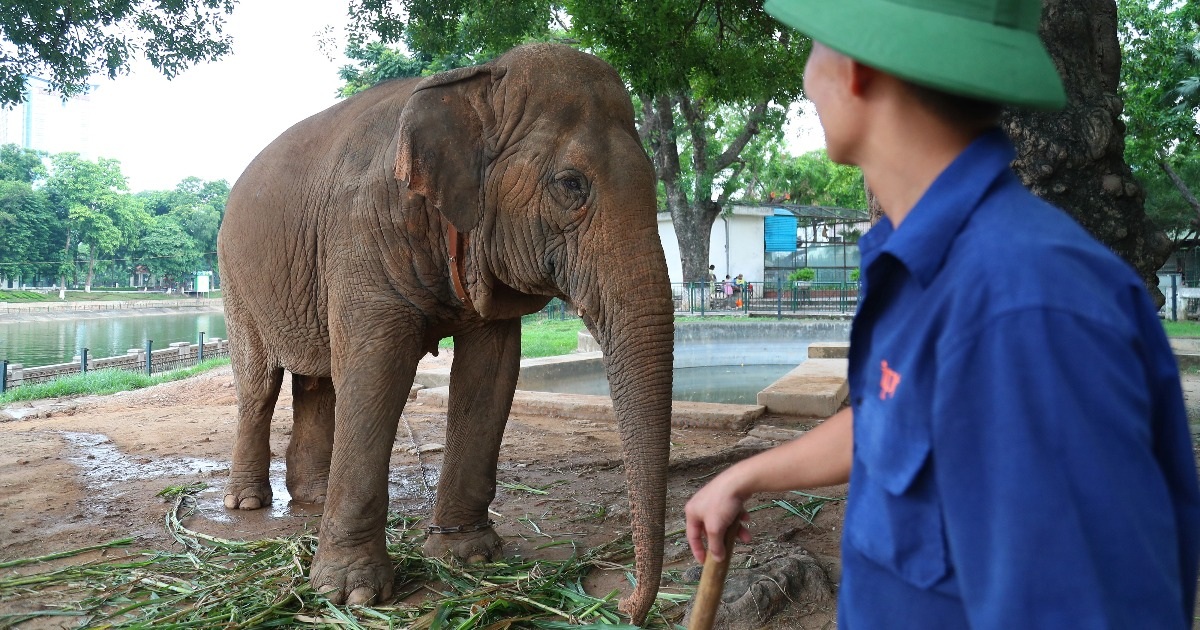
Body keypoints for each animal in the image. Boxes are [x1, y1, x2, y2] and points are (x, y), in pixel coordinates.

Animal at [216, 44, 676, 624]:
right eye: (572, 184)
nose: (626, 606)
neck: (473, 83)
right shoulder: (362, 232)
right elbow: (375, 369)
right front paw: (350, 594)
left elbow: (491, 371)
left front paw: (466, 555)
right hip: (236, 281)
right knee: (259, 386)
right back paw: (247, 502)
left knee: (317, 380)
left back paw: (315, 498)